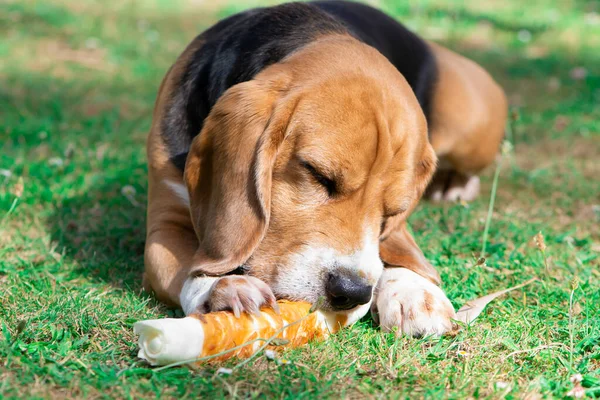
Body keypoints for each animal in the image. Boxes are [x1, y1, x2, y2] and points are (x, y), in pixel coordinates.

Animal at [144, 1, 506, 336]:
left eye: (393, 211)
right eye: (318, 175)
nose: (351, 291)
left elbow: (393, 250)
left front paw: (412, 289)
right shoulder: (165, 224)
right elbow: (186, 267)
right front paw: (220, 288)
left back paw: (455, 185)